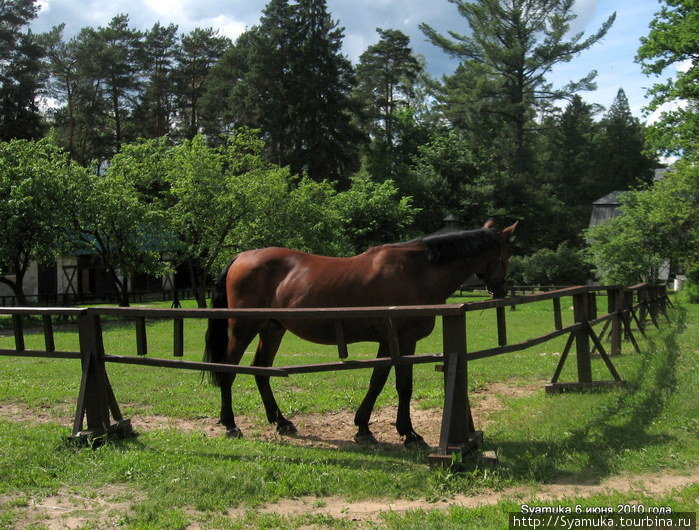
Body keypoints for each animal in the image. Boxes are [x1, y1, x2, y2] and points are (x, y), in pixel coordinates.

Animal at [205, 217, 516, 444]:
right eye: (506, 254)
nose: (501, 289)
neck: (418, 272)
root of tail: (241, 257)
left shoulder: (389, 342)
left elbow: (377, 381)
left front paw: (363, 427)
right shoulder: (404, 341)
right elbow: (403, 386)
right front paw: (409, 433)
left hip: (272, 329)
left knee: (261, 370)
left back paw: (281, 421)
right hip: (243, 329)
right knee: (228, 370)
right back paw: (231, 425)